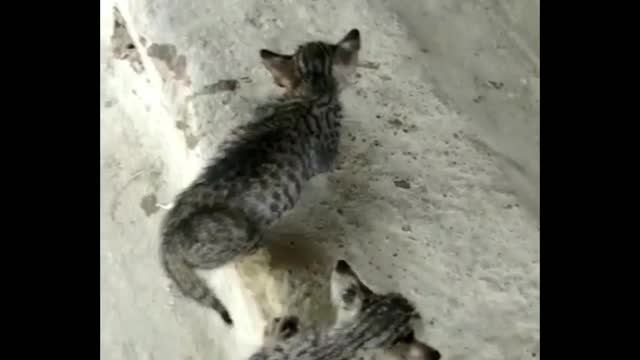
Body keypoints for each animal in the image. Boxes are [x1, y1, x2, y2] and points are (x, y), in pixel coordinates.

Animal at [158, 29, 362, 324]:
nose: (354, 34)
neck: (309, 90)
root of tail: (168, 240)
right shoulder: (327, 150)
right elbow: (330, 163)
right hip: (240, 234)